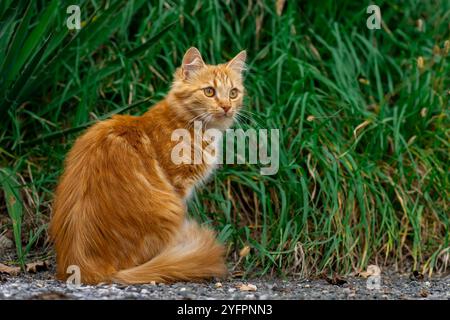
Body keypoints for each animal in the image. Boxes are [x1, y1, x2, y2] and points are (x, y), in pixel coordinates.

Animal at [51, 47, 248, 282]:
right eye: (209, 91)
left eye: (233, 93)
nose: (227, 107)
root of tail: (83, 266)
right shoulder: (178, 186)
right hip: (170, 208)